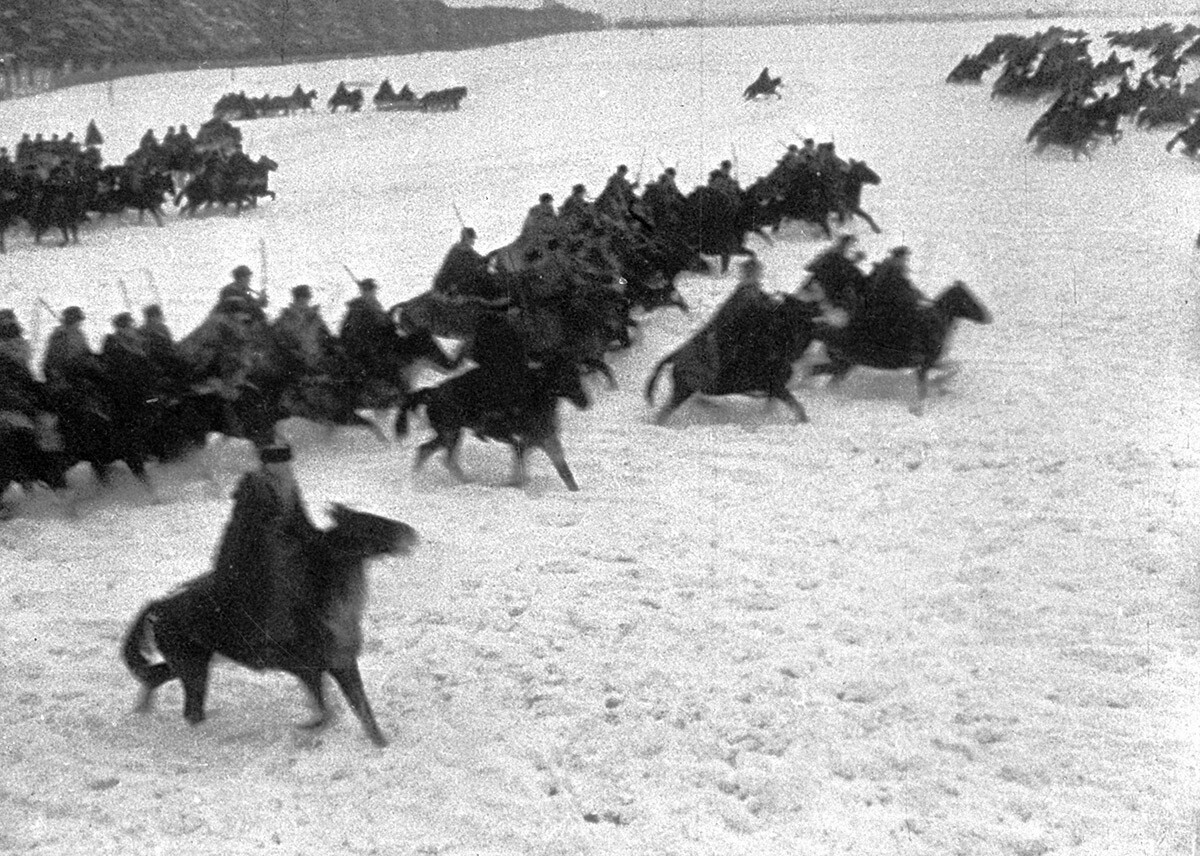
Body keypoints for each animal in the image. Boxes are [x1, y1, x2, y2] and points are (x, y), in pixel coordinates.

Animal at [119, 504, 415, 744]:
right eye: (368, 524)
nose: (409, 532)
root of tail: (158, 607)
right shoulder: (318, 667)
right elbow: (335, 712)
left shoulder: (334, 666)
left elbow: (354, 711)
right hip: (193, 668)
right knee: (191, 711)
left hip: (191, 663)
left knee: (155, 678)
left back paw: (142, 711)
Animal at [811, 280, 988, 412]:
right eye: (966, 299)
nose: (987, 316)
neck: (933, 324)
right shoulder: (925, 363)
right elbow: (927, 385)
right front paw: (920, 405)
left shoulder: (927, 363)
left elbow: (950, 368)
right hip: (843, 363)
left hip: (843, 364)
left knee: (823, 377)